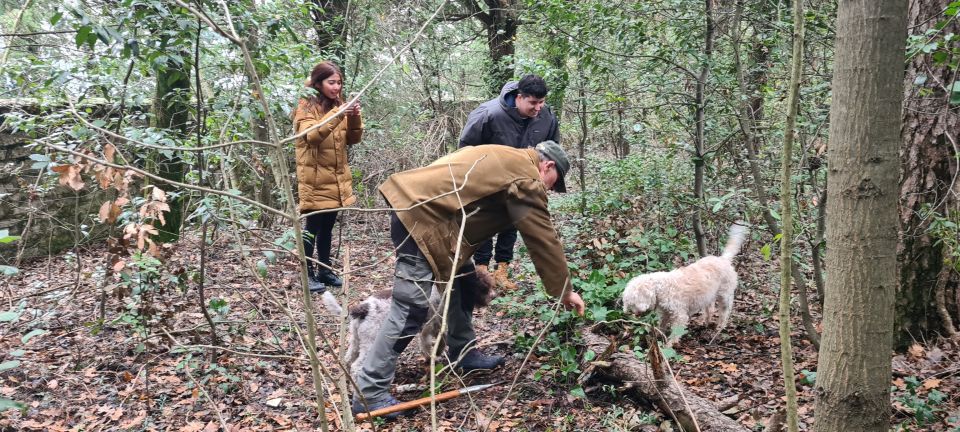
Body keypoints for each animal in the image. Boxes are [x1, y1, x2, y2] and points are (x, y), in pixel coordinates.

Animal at [624, 224, 752, 346]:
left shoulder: (680, 315)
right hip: (709, 295)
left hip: (725, 296)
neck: (660, 288)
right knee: (710, 309)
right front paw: (658, 336)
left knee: (725, 313)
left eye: (634, 302)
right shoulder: (666, 313)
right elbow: (662, 325)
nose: (635, 313)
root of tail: (723, 259)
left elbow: (675, 332)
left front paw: (669, 345)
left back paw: (719, 327)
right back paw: (705, 323)